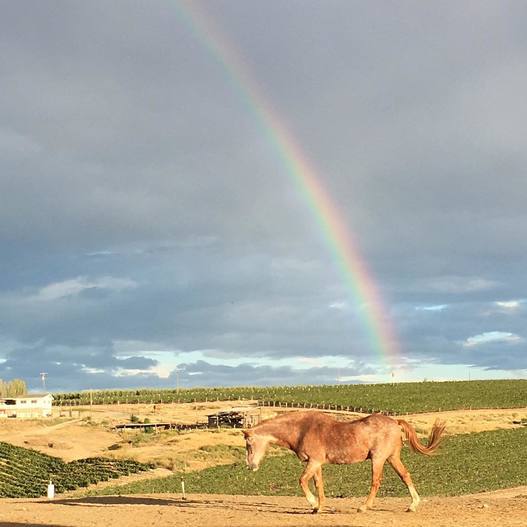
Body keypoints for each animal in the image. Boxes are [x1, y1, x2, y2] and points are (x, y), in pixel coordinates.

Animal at [243, 410, 446, 512]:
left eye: (249, 443)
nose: (251, 465)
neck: (302, 429)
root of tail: (395, 422)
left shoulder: (313, 462)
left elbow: (302, 481)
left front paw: (312, 503)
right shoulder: (316, 464)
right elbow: (318, 485)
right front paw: (319, 507)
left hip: (378, 459)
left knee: (376, 482)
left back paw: (364, 507)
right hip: (392, 458)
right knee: (405, 476)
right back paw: (412, 505)